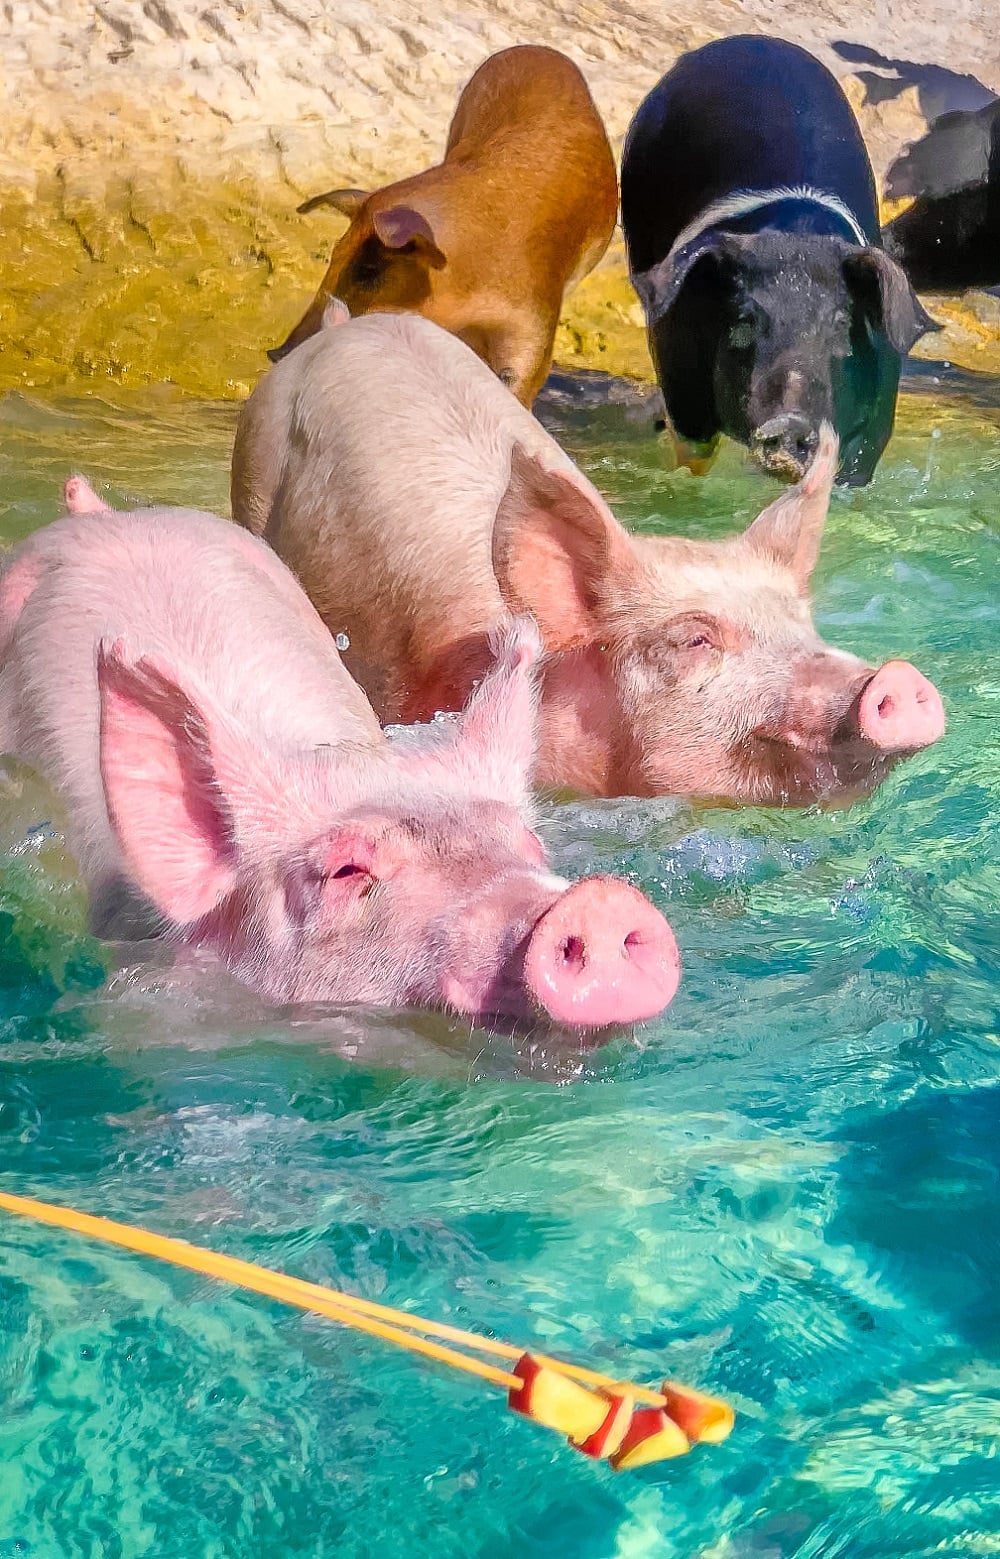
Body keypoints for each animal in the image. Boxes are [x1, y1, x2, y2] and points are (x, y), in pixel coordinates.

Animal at [620, 38, 942, 486]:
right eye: (743, 320)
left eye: (840, 322)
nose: (789, 424)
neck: (796, 239)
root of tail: (749, 41)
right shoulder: (679, 378)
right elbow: (694, 456)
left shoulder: (876, 418)